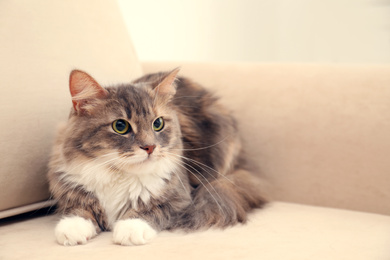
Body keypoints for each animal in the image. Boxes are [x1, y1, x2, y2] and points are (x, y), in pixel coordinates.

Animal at [47, 68, 266, 246]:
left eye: (158, 123)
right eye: (120, 126)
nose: (150, 147)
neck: (117, 175)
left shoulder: (179, 197)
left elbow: (151, 210)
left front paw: (130, 228)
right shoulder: (70, 188)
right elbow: (79, 210)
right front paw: (73, 228)